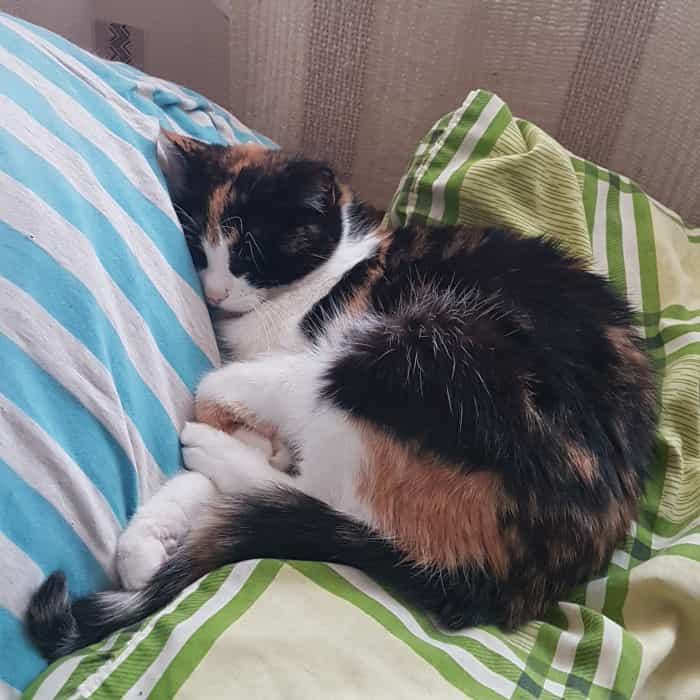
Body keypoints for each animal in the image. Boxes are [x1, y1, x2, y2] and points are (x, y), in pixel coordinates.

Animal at [24, 131, 656, 660]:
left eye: (250, 253)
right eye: (198, 252)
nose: (216, 293)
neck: (335, 269)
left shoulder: (311, 357)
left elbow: (218, 387)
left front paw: (224, 436)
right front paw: (144, 547)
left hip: (416, 351)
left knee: (320, 495)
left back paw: (221, 451)